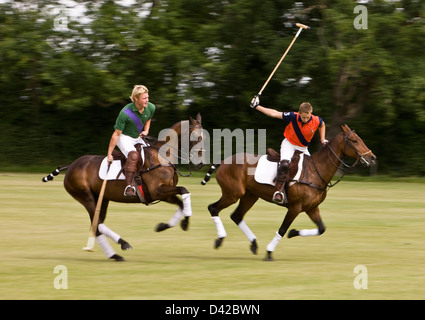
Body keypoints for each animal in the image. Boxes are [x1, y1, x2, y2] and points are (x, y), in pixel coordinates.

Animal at [42, 114, 205, 262]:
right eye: (196, 137)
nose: (201, 164)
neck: (162, 156)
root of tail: (71, 165)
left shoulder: (164, 194)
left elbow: (181, 202)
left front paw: (164, 226)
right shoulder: (157, 191)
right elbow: (184, 191)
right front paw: (185, 222)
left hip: (102, 199)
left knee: (96, 225)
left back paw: (115, 255)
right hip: (85, 196)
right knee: (97, 224)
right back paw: (122, 244)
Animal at [201, 124, 374, 262]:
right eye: (354, 140)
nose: (372, 158)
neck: (315, 171)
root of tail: (223, 162)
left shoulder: (312, 208)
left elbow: (321, 229)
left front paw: (293, 232)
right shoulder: (295, 207)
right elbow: (282, 229)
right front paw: (269, 252)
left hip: (250, 195)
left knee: (236, 215)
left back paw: (254, 244)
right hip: (232, 194)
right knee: (213, 208)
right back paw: (220, 239)